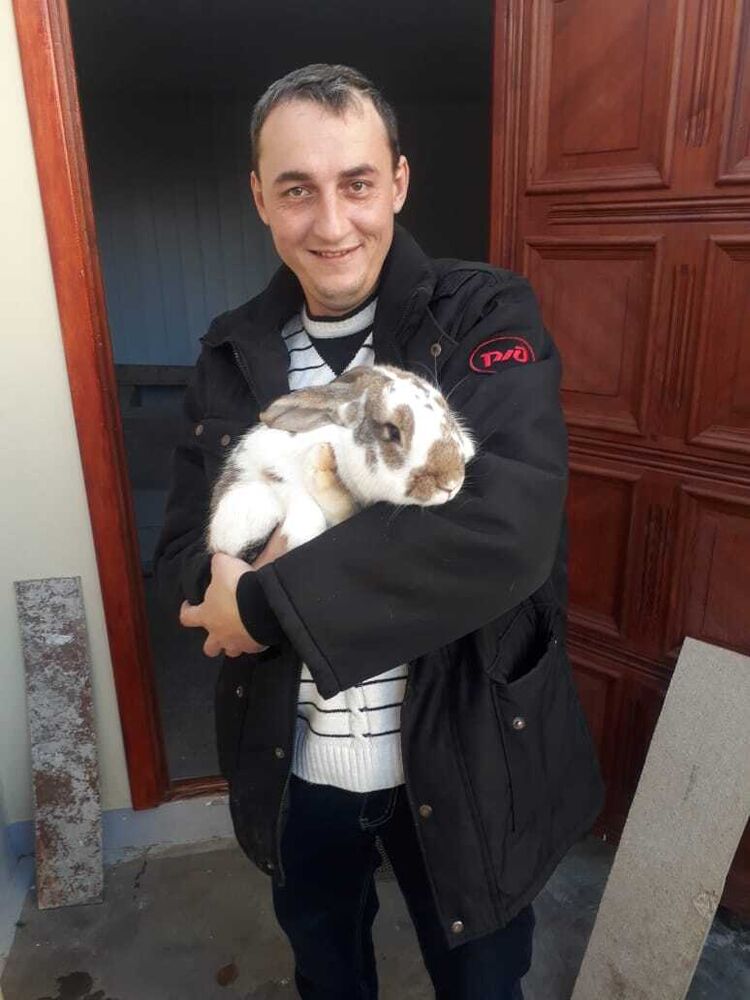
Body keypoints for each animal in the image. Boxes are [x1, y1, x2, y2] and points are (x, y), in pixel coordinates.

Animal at [206, 364, 476, 562]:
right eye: (392, 432)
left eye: (447, 412)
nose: (451, 483)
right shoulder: (267, 462)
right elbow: (288, 486)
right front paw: (304, 530)